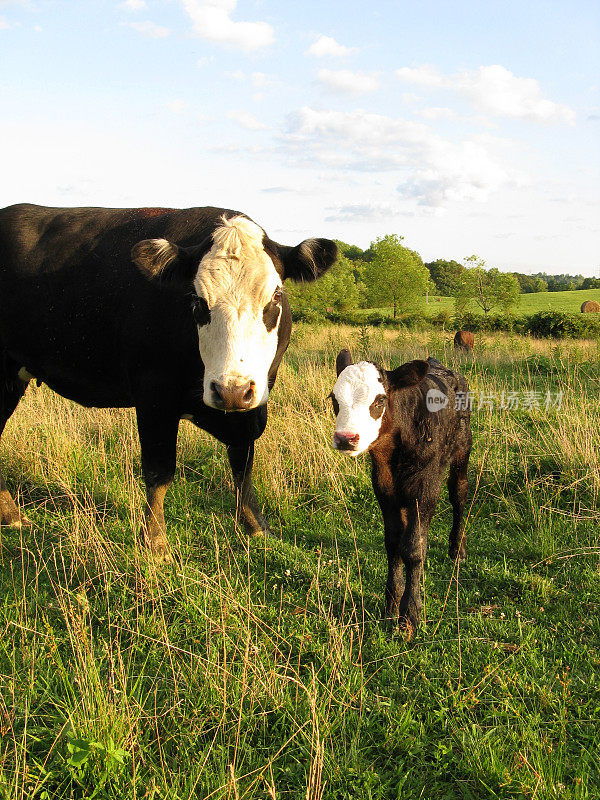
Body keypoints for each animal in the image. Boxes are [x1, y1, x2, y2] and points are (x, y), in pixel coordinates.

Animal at [0, 203, 338, 560]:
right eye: (198, 301)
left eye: (274, 297)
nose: (230, 390)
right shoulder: (154, 397)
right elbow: (159, 472)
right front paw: (155, 542)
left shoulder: (253, 403)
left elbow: (242, 461)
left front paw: (256, 525)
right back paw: (11, 515)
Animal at [330, 350, 472, 636]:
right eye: (334, 398)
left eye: (380, 400)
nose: (345, 438)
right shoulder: (384, 488)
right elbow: (394, 544)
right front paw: (391, 607)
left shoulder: (426, 487)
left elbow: (414, 548)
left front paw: (410, 615)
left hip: (463, 449)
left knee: (459, 494)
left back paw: (457, 550)